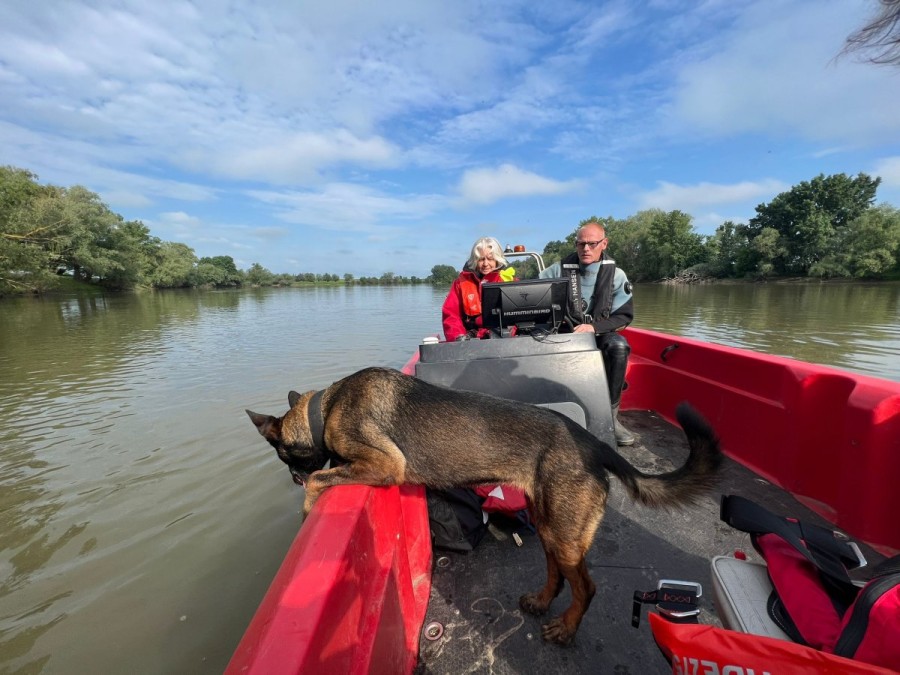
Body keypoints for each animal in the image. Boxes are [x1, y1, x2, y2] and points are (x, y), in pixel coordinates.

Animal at [248, 368, 724, 648]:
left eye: (284, 457)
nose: (290, 479)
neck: (326, 406)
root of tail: (594, 445)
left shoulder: (385, 464)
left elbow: (321, 478)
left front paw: (307, 508)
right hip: (549, 523)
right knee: (556, 573)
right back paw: (540, 601)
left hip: (564, 532)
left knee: (586, 587)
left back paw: (567, 627)